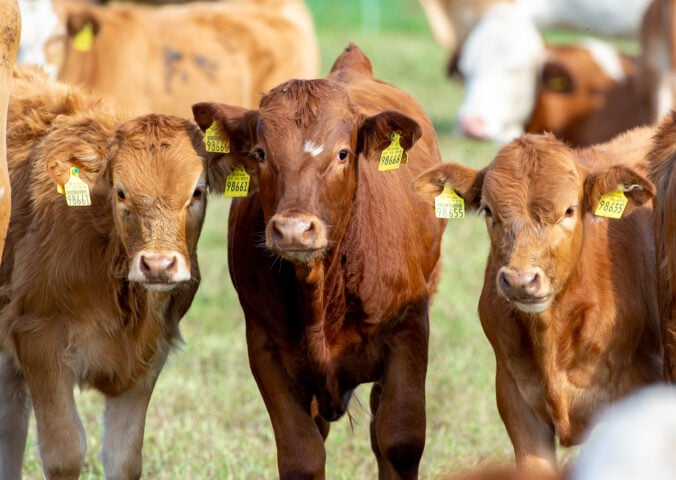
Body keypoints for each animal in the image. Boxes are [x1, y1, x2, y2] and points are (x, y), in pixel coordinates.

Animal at [0, 66, 210, 480]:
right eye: (121, 192)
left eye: (197, 191)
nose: (158, 265)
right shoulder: (38, 339)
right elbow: (65, 453)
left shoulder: (149, 358)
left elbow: (124, 458)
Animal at [190, 43, 446, 478]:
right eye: (260, 153)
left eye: (342, 153)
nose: (294, 229)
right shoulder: (265, 346)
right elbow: (301, 454)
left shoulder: (410, 330)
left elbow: (399, 440)